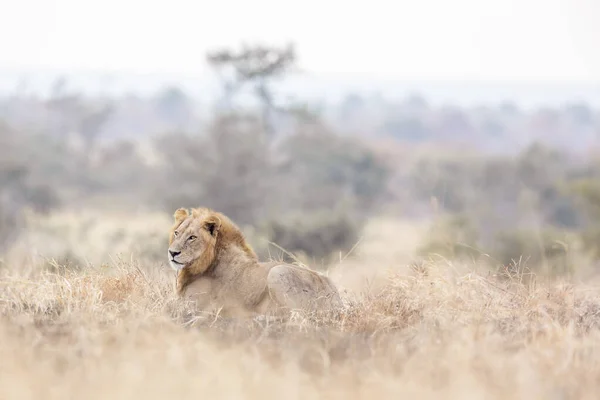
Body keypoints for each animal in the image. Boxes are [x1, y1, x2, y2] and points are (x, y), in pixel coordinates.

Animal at [166, 206, 342, 316]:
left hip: (277, 272)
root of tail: (336, 299)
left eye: (192, 237)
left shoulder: (193, 305)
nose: (172, 253)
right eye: (176, 233)